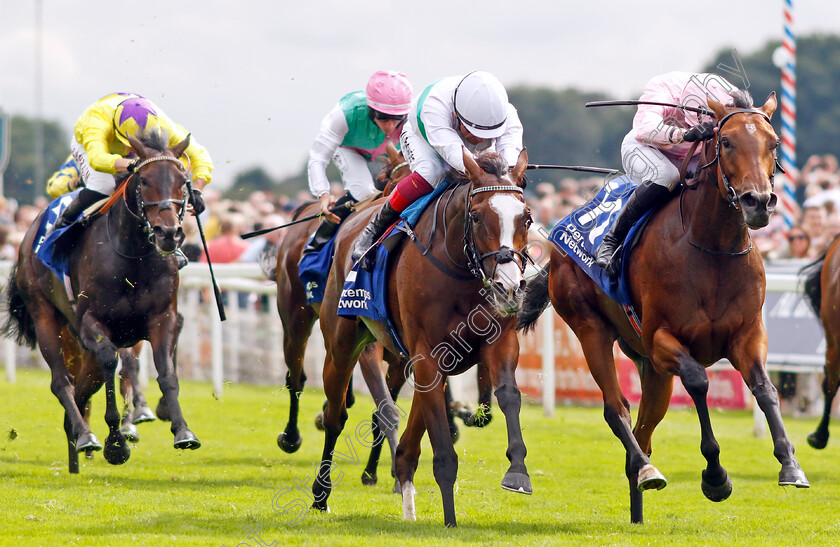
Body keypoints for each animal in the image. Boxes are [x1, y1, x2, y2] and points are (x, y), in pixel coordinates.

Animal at [312, 149, 536, 528]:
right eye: (476, 217)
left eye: (527, 218)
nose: (509, 286)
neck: (460, 269)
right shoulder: (427, 356)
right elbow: (442, 448)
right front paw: (450, 520)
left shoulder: (497, 342)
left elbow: (508, 395)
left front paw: (517, 472)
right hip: (341, 345)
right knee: (335, 416)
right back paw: (320, 495)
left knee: (406, 443)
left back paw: (405, 498)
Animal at [520, 92, 808, 524]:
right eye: (726, 142)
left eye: (773, 144)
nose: (758, 202)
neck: (713, 250)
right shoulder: (661, 341)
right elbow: (700, 381)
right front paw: (715, 476)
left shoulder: (747, 334)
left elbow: (765, 387)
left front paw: (790, 464)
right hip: (590, 328)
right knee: (616, 409)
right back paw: (647, 470)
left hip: (649, 368)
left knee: (643, 430)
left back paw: (640, 493)